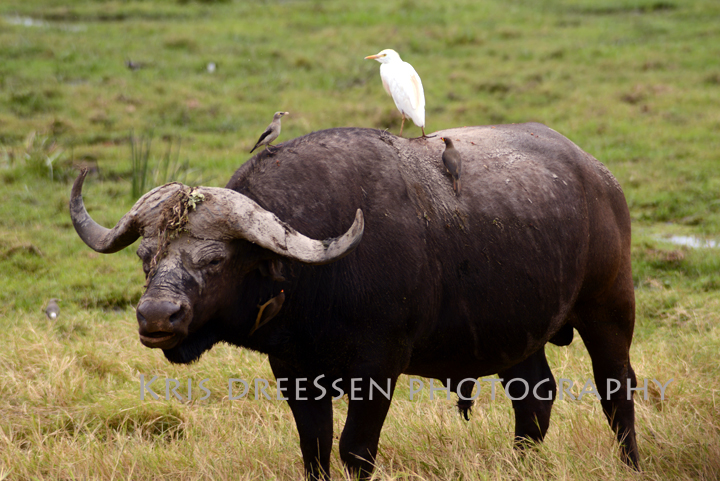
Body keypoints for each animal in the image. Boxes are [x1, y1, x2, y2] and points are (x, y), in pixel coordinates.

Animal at [70, 124, 640, 476]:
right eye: (146, 255)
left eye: (215, 259)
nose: (156, 316)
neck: (314, 279)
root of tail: (599, 177)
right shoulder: (294, 370)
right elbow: (315, 449)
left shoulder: (379, 366)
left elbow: (355, 450)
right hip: (518, 333)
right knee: (534, 398)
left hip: (609, 308)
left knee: (616, 390)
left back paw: (630, 463)